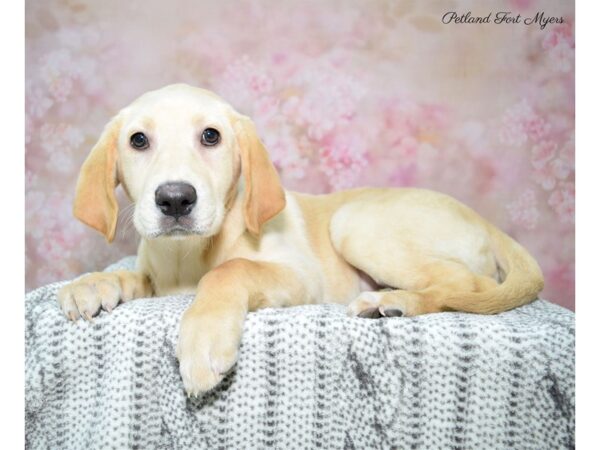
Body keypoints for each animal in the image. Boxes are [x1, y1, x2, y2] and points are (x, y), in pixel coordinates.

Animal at [58, 83, 548, 394]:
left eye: (211, 136)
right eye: (138, 140)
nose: (175, 199)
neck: (188, 256)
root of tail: (485, 222)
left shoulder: (299, 277)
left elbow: (231, 270)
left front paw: (203, 339)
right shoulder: (155, 276)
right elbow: (131, 276)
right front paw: (92, 285)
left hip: (355, 224)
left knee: (470, 285)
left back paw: (392, 302)